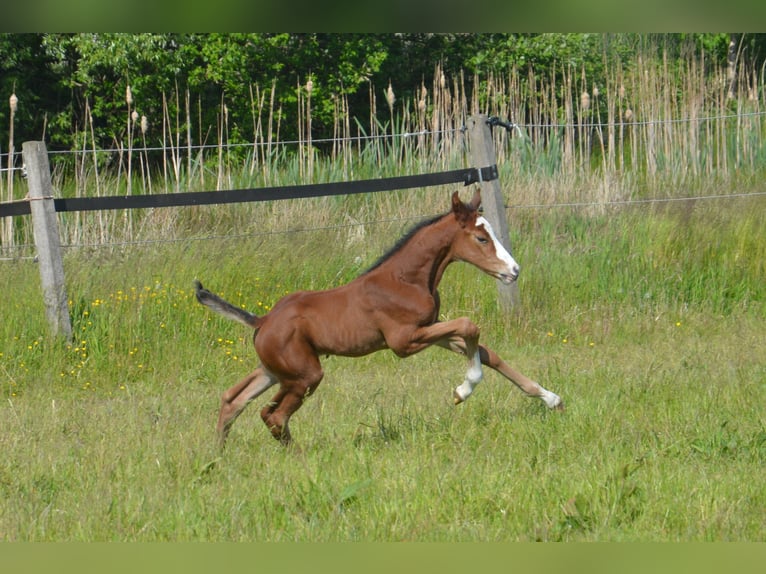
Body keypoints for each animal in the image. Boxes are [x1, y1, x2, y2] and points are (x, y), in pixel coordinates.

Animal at [195, 190, 560, 450]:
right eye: (482, 238)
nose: (514, 271)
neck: (406, 279)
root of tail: (262, 321)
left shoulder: (431, 328)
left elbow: (486, 352)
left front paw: (549, 397)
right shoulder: (404, 341)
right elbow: (470, 325)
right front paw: (463, 390)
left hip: (276, 370)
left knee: (233, 399)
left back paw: (217, 456)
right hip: (305, 375)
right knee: (272, 415)